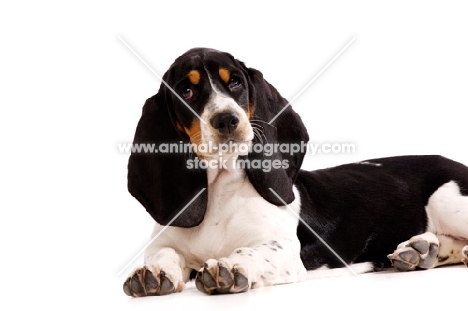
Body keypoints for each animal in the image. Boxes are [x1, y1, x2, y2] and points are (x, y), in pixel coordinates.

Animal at [123, 48, 468, 298]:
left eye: (235, 82)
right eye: (186, 91)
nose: (227, 119)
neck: (220, 194)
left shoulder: (284, 250)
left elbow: (251, 250)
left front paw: (231, 265)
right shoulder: (164, 243)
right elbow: (162, 253)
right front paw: (153, 273)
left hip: (449, 201)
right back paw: (421, 251)